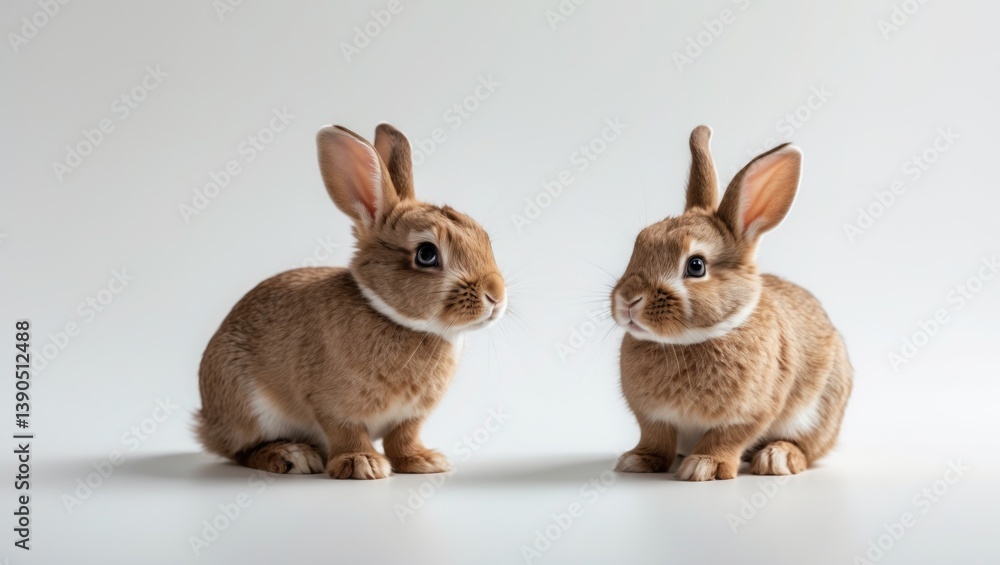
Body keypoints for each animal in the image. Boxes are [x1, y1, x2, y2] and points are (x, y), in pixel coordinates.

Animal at [196, 123, 506, 479]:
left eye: (484, 238)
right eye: (426, 254)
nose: (496, 295)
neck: (395, 318)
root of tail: (205, 422)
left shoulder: (411, 415)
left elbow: (403, 436)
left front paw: (424, 462)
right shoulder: (330, 403)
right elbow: (346, 430)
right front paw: (362, 464)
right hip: (247, 405)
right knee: (241, 450)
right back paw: (292, 455)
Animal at [611, 126, 851, 481]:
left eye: (696, 266)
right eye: (639, 244)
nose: (628, 300)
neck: (686, 342)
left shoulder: (749, 413)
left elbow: (727, 437)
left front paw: (704, 466)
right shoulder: (652, 417)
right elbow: (656, 438)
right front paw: (637, 461)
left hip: (822, 407)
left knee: (807, 447)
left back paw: (777, 458)